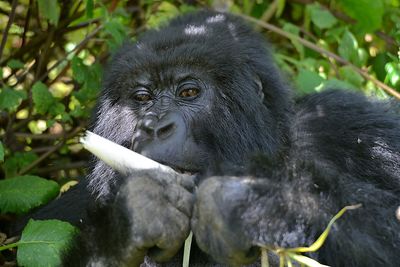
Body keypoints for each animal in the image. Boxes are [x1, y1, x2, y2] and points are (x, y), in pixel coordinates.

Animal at [28, 9, 400, 266]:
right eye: (142, 97)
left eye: (189, 92)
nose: (153, 127)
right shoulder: (68, 208)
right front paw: (132, 218)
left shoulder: (351, 125)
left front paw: (256, 204)